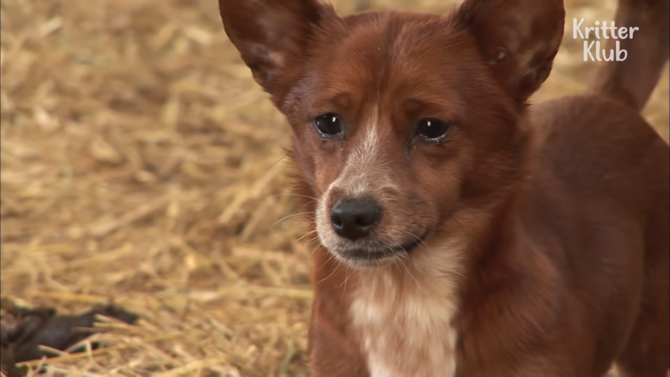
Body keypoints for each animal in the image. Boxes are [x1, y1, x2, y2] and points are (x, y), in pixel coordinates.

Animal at [218, 0, 668, 374]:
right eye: (327, 122)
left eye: (432, 127)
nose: (350, 217)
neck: (402, 302)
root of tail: (612, 99)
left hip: (647, 344)